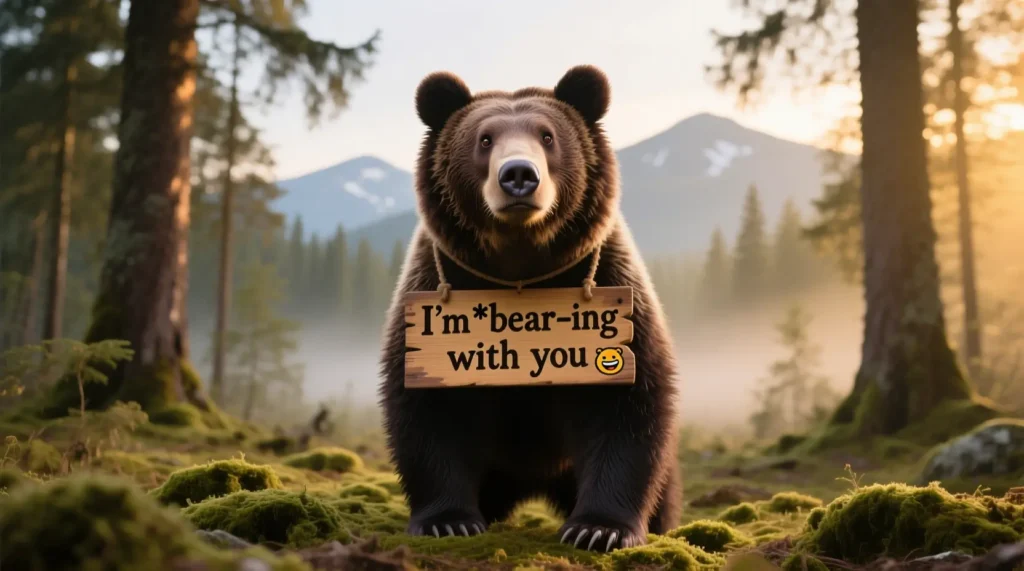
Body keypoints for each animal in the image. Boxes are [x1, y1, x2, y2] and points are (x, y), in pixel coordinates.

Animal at [378, 65, 682, 552]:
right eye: (484, 139)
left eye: (547, 135)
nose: (518, 174)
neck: (520, 263)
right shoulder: (435, 291)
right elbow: (427, 411)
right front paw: (448, 520)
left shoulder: (612, 286)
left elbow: (629, 406)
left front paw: (599, 528)